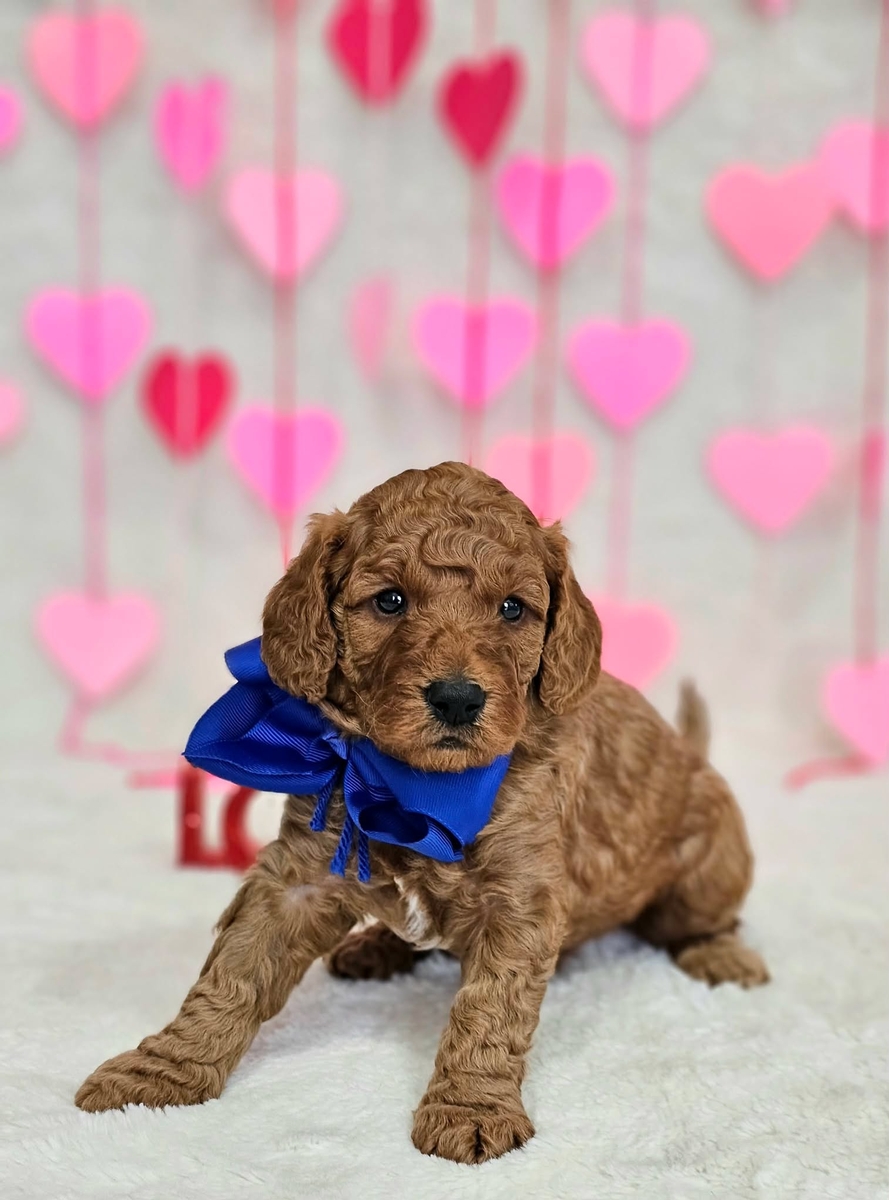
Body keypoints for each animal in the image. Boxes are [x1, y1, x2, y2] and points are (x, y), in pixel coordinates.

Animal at [75, 461, 768, 1164]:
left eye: (512, 608)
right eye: (390, 601)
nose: (458, 699)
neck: (411, 785)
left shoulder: (521, 896)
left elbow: (489, 1010)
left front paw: (471, 1110)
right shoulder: (299, 874)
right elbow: (233, 972)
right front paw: (160, 1071)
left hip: (710, 863)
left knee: (704, 918)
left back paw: (720, 955)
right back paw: (376, 947)